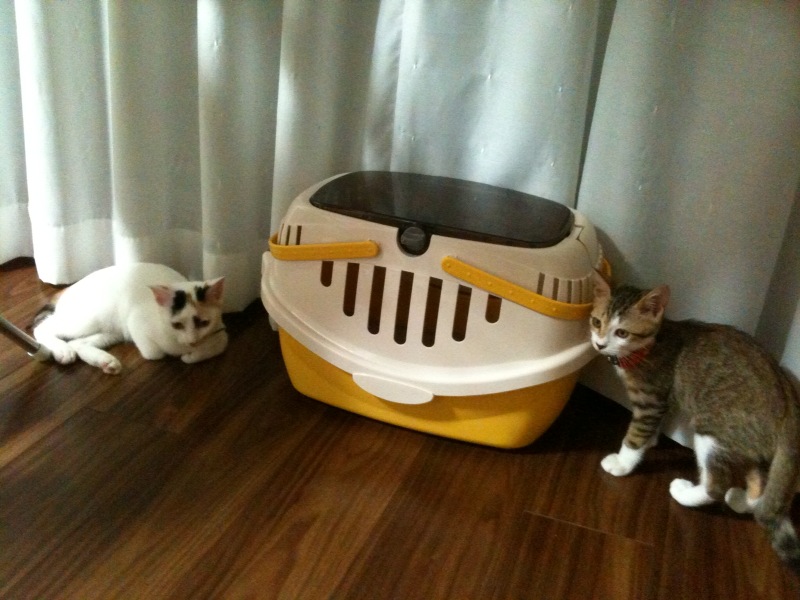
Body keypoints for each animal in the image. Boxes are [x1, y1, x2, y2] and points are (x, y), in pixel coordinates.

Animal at [33, 263, 227, 374]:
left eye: (204, 323)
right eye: (177, 325)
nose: (192, 341)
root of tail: (66, 290)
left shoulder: (220, 331)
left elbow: (219, 345)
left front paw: (191, 356)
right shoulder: (136, 321)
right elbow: (154, 354)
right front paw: (182, 355)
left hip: (112, 331)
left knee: (78, 343)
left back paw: (106, 362)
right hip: (89, 320)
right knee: (43, 328)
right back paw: (62, 350)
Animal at [590, 272, 800, 575]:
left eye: (622, 333)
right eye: (597, 322)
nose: (600, 344)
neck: (649, 346)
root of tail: (787, 394)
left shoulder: (651, 399)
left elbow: (636, 434)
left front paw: (623, 462)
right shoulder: (662, 402)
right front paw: (652, 441)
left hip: (713, 430)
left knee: (716, 485)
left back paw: (685, 493)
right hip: (744, 435)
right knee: (759, 479)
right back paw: (742, 500)